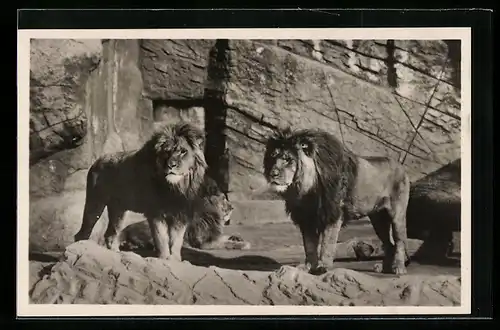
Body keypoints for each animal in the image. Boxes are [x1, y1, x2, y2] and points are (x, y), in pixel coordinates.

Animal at [73, 121, 210, 260]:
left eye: (183, 151)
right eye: (166, 152)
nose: (171, 165)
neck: (176, 187)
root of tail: (97, 160)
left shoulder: (181, 213)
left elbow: (176, 241)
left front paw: (175, 260)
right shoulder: (155, 212)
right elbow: (161, 238)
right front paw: (164, 258)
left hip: (118, 210)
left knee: (111, 234)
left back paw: (117, 254)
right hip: (95, 202)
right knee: (83, 232)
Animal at [262, 127, 410, 276]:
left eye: (288, 159)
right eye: (273, 156)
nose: (272, 174)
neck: (304, 188)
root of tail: (401, 166)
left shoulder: (333, 214)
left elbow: (328, 244)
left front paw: (323, 267)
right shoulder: (306, 218)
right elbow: (309, 245)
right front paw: (308, 267)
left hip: (397, 215)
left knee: (399, 242)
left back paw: (399, 268)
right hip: (378, 219)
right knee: (389, 244)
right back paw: (384, 269)